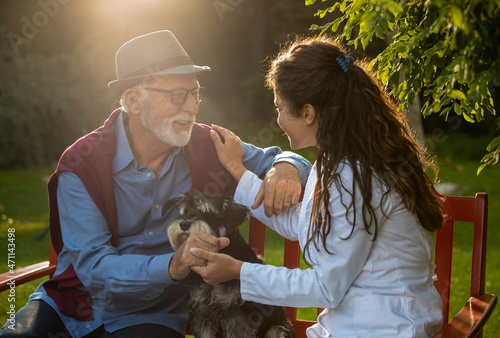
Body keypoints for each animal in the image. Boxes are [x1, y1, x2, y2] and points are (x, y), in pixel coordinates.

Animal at [164, 191, 294, 336]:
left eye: (208, 212)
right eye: (183, 212)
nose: (184, 224)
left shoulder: (235, 315)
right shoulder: (202, 312)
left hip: (278, 329)